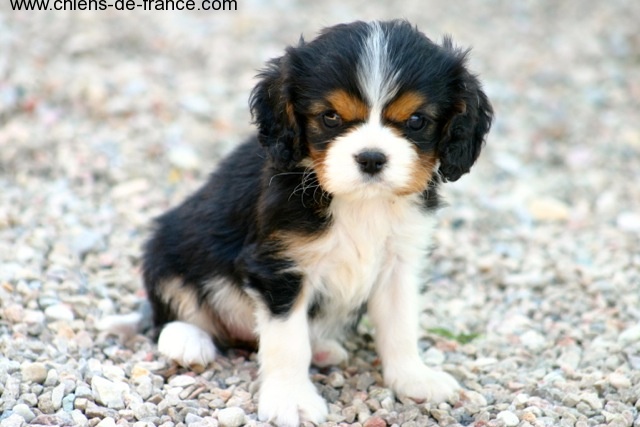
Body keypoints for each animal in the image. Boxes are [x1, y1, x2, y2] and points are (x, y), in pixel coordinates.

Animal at [144, 18, 496, 426]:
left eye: (416, 121)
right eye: (330, 117)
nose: (371, 158)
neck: (360, 202)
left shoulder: (399, 264)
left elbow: (401, 326)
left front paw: (414, 378)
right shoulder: (280, 268)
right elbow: (288, 343)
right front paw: (292, 399)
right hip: (167, 245)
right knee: (170, 311)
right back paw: (187, 341)